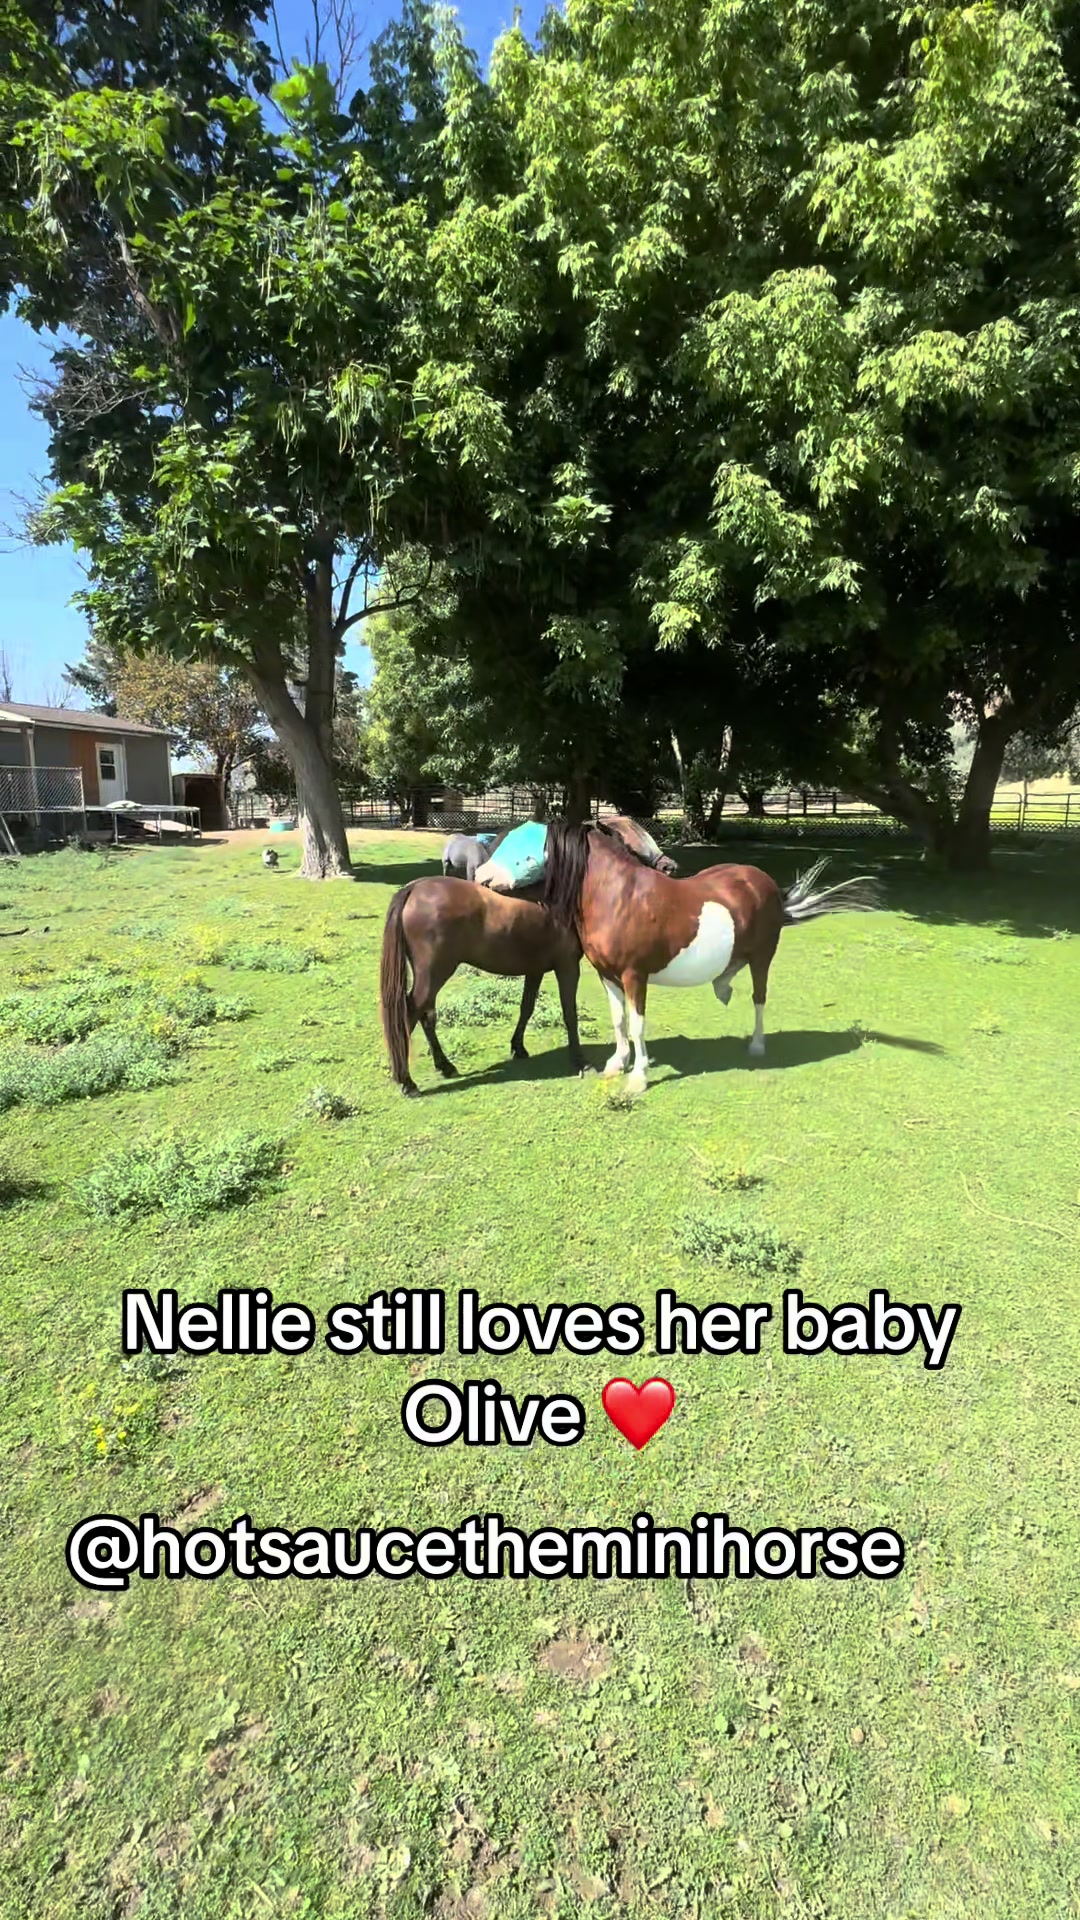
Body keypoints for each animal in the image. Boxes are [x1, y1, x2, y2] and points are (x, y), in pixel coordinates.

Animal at [536, 821, 882, 1093]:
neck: (618, 896)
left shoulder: (635, 976)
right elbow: (619, 1021)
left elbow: (636, 1025)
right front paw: (616, 1064)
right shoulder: (607, 975)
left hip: (763, 958)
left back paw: (757, 1044)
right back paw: (723, 987)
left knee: (759, 998)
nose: (669, 866)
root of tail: (768, 886)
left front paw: (638, 1079)